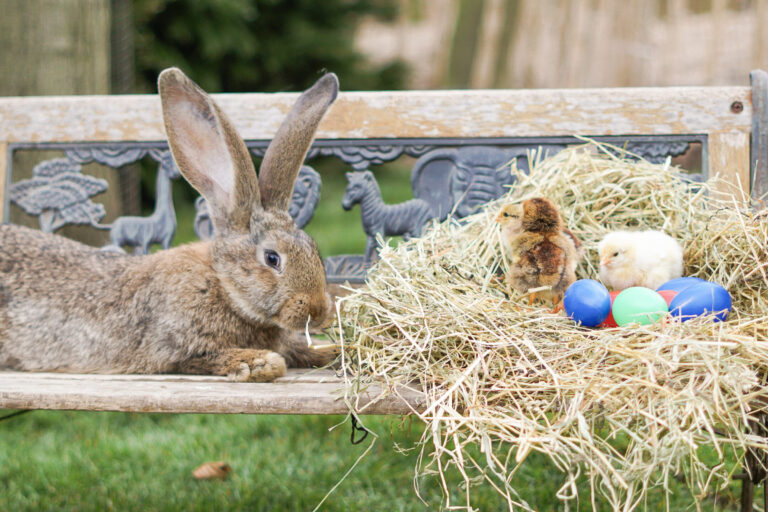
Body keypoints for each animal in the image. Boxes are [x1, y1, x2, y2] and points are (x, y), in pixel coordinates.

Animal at [0, 67, 339, 382]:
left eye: (313, 249)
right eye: (272, 258)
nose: (318, 311)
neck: (222, 285)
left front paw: (335, 351)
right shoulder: (176, 347)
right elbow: (208, 356)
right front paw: (261, 363)